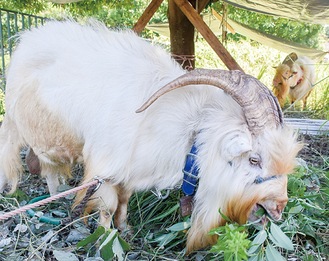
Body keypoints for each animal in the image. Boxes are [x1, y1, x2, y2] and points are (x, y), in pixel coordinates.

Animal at [0, 20, 302, 252]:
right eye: (254, 159)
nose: (278, 208)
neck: (188, 130)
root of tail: (26, 41)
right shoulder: (105, 170)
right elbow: (107, 208)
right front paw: (106, 240)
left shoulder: (130, 171)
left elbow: (123, 202)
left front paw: (126, 229)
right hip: (29, 129)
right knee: (41, 167)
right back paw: (54, 196)